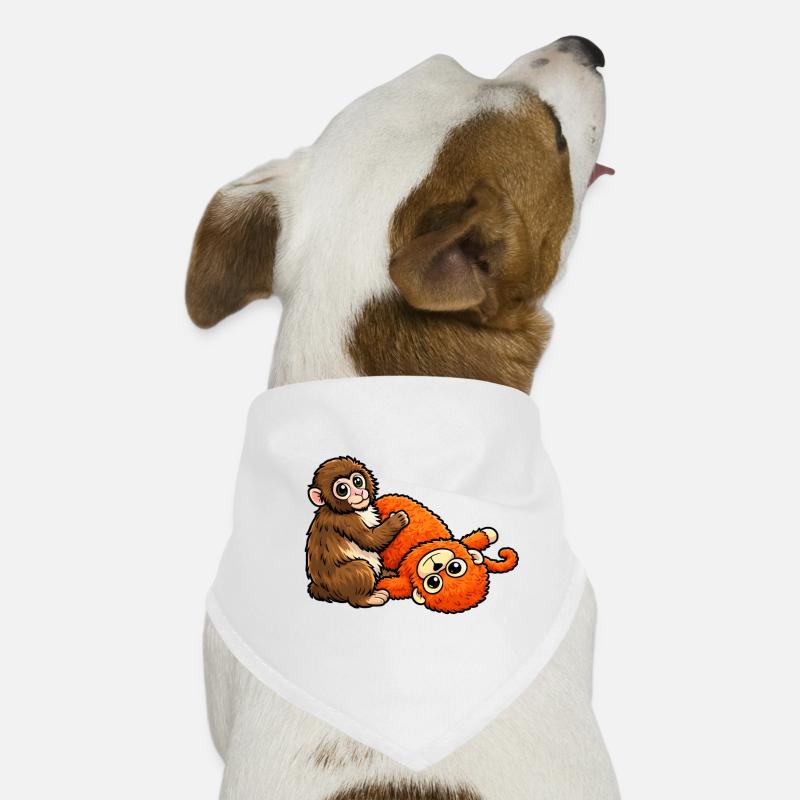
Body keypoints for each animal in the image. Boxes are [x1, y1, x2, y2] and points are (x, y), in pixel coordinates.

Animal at [306, 456, 410, 607]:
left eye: (358, 481)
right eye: (342, 489)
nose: (358, 492)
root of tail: (321, 588)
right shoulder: (347, 522)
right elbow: (371, 540)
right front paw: (397, 520)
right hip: (343, 580)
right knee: (359, 570)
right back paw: (369, 598)